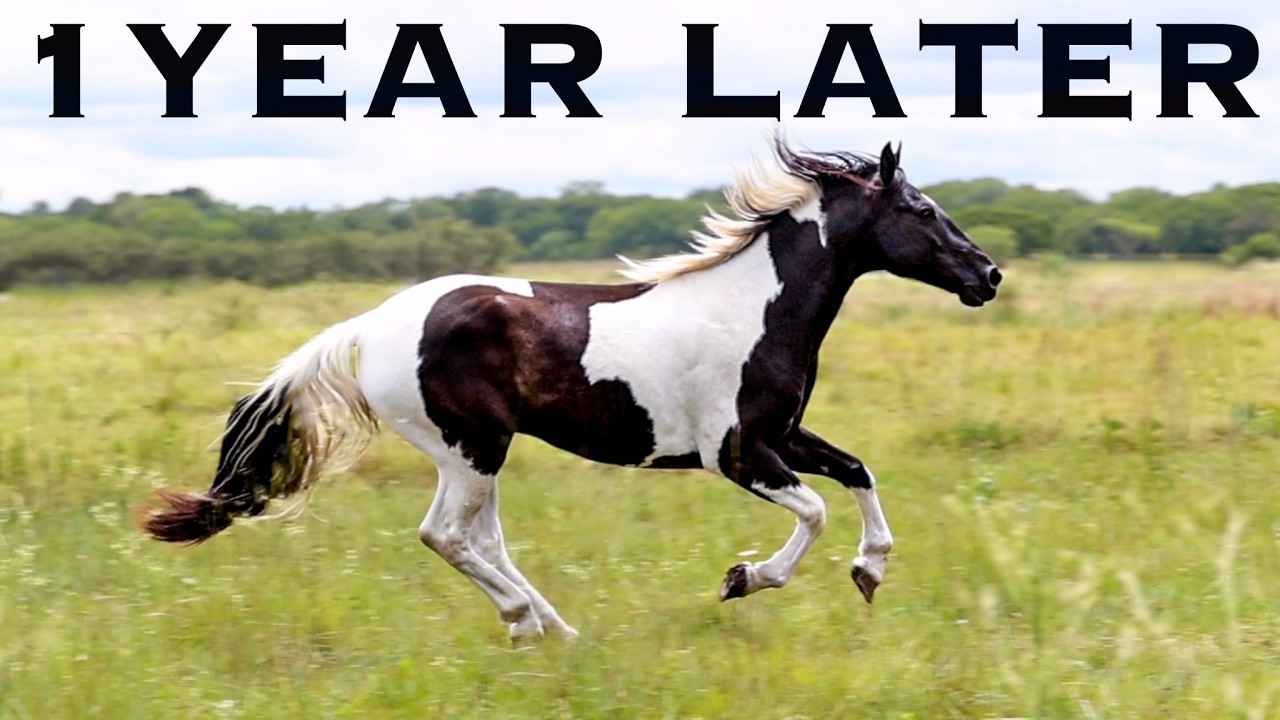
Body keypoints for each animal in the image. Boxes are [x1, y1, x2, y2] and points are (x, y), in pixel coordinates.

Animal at [143, 138, 1001, 640]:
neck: (755, 309)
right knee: (446, 536)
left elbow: (857, 471)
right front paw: (743, 579)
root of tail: (374, 322)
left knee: (481, 541)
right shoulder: (737, 454)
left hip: (480, 453)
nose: (988, 275)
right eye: (923, 209)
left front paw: (869, 572)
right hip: (470, 447)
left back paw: (556, 632)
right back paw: (526, 622)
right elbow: (817, 509)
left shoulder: (784, 434)